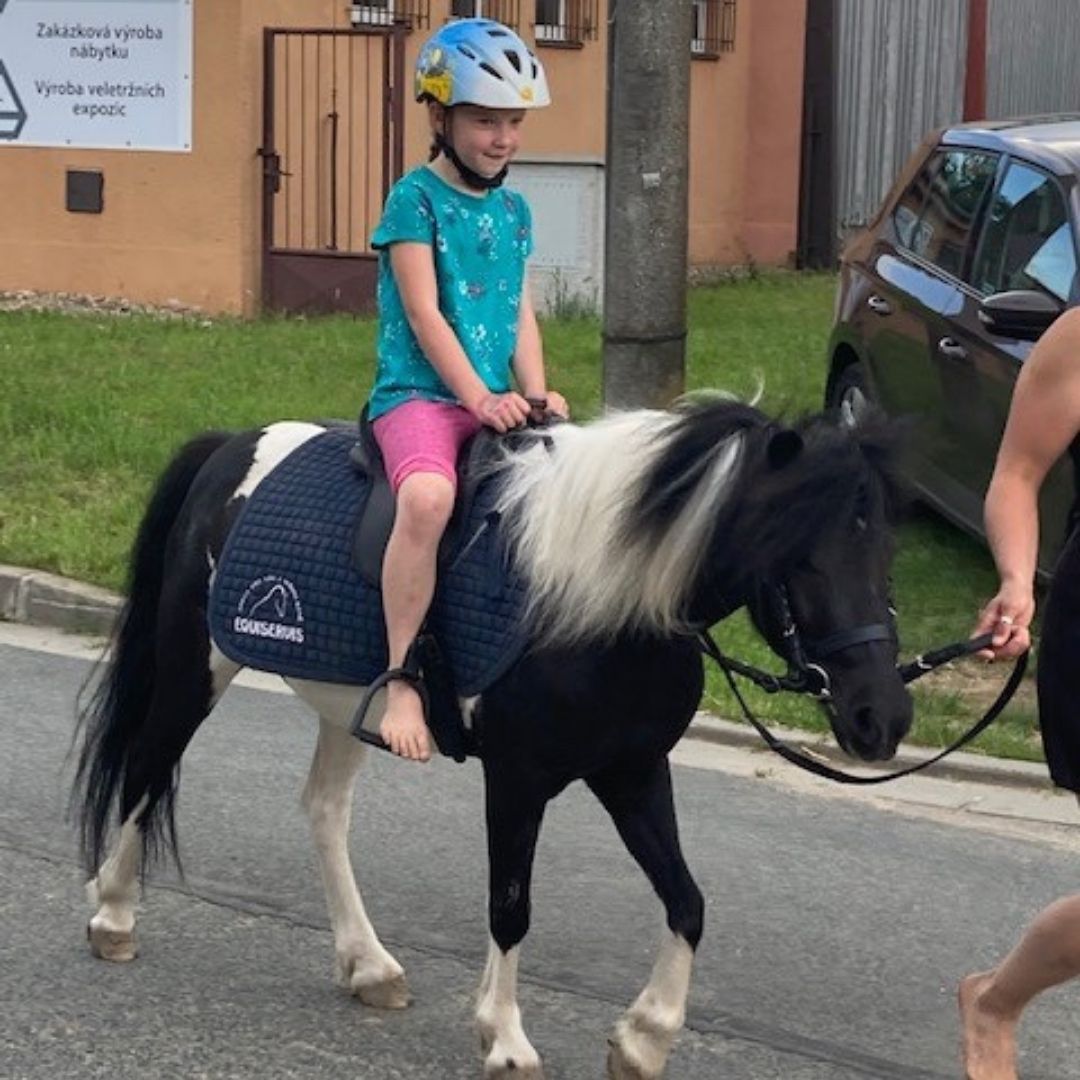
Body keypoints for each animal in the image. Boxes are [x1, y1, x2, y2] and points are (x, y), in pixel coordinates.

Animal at [69, 399, 911, 1080]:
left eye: (885, 555)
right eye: (799, 556)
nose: (885, 717)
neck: (601, 598)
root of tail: (230, 447)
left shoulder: (633, 770)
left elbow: (688, 901)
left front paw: (643, 1038)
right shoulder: (517, 777)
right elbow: (511, 908)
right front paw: (505, 1040)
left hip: (345, 706)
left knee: (323, 810)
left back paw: (368, 965)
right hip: (195, 666)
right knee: (148, 764)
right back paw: (113, 917)